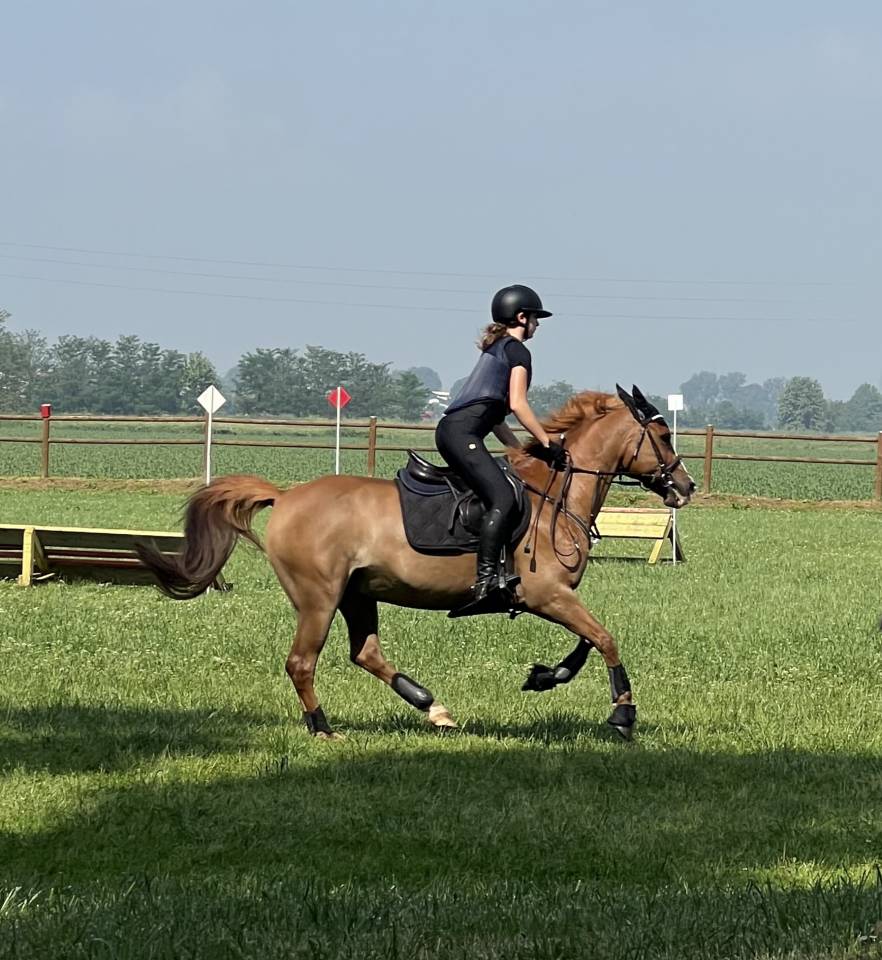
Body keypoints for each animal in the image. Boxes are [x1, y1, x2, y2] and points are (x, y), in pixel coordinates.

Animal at [136, 385, 695, 741]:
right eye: (664, 437)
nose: (685, 487)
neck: (553, 494)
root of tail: (287, 496)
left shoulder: (556, 597)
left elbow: (588, 641)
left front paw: (543, 676)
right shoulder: (546, 594)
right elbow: (604, 638)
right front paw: (623, 715)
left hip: (357, 595)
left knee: (365, 654)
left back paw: (434, 709)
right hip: (319, 598)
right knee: (301, 663)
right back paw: (323, 728)